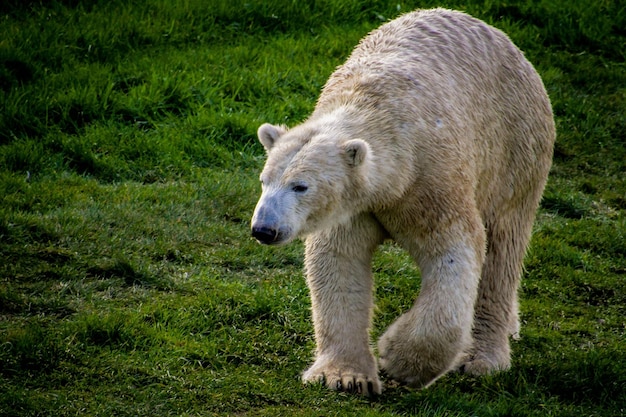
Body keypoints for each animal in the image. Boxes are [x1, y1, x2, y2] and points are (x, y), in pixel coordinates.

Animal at [251, 8, 552, 394]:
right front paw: (345, 377)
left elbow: (456, 252)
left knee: (503, 245)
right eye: (265, 180)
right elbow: (337, 261)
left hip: (513, 148)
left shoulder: (431, 177)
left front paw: (399, 359)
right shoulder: (355, 205)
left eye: (300, 186)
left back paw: (482, 357)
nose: (264, 229)